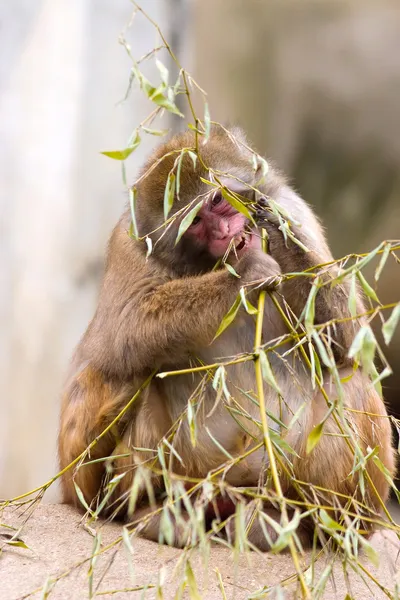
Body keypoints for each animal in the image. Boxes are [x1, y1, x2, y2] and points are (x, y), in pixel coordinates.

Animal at [57, 124, 396, 552]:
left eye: (219, 200)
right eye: (196, 222)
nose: (224, 232)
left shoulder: (294, 208)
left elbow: (347, 337)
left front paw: (274, 232)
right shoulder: (129, 241)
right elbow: (121, 332)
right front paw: (248, 273)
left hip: (279, 483)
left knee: (345, 378)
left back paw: (312, 527)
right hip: (148, 478)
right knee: (129, 374)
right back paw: (149, 513)